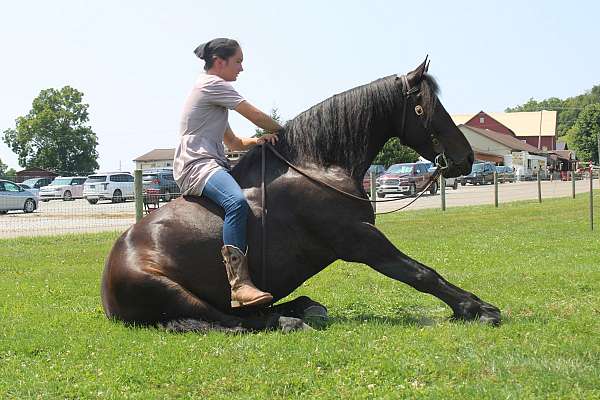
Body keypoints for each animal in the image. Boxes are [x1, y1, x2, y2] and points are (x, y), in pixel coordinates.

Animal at [101, 59, 500, 332]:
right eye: (427, 109)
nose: (467, 157)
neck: (317, 166)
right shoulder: (360, 240)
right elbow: (420, 273)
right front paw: (478, 309)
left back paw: (303, 307)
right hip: (170, 290)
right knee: (234, 319)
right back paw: (289, 319)